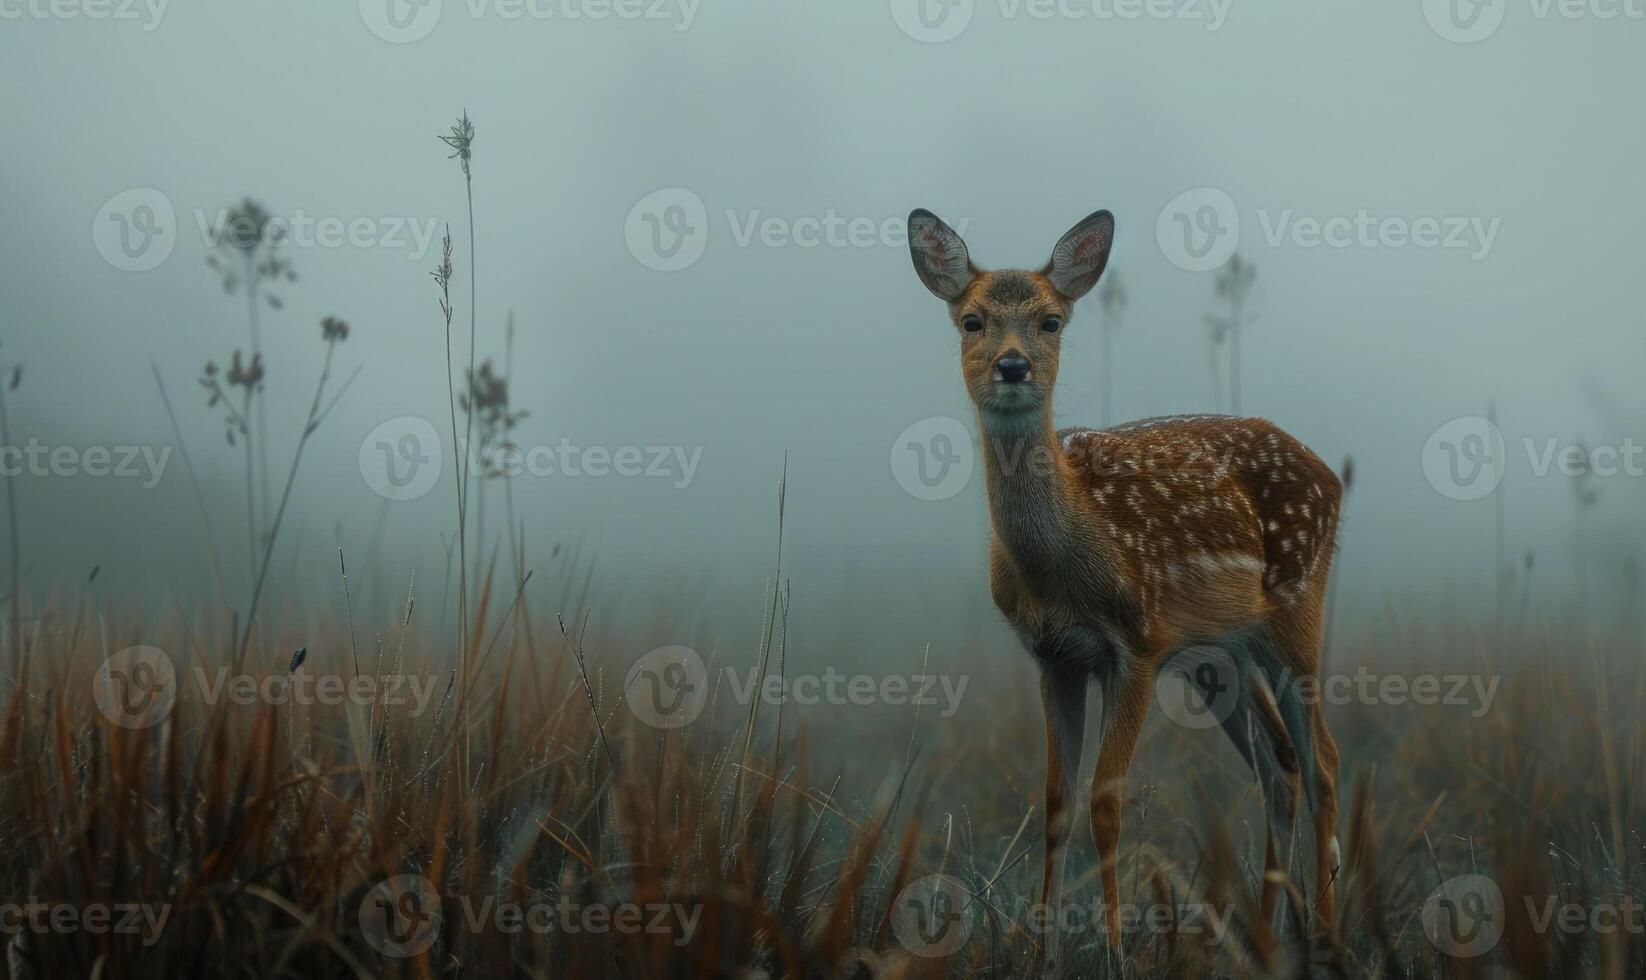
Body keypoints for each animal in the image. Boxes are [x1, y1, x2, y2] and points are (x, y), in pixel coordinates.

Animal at [908, 209, 1343, 968]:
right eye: (971, 320)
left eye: (1051, 320)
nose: (1013, 365)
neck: (1064, 560)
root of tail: (1333, 478)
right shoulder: (1055, 657)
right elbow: (1056, 802)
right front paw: (1042, 953)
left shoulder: (1137, 643)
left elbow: (1105, 803)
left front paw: (1112, 949)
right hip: (1221, 654)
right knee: (1279, 762)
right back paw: (1270, 933)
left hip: (1296, 609)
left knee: (1323, 760)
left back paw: (1325, 933)